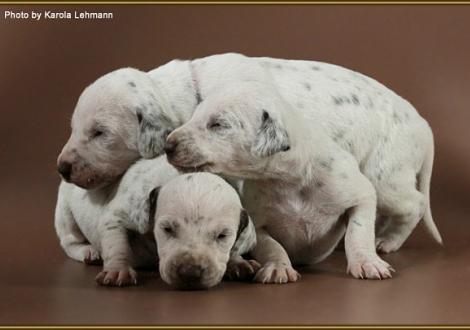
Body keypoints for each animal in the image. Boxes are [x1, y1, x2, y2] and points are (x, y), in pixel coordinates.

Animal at [55, 156, 258, 288]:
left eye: (223, 236)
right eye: (167, 229)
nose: (189, 272)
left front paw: (237, 262)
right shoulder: (116, 216)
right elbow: (117, 244)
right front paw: (118, 270)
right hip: (65, 214)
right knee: (70, 242)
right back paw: (89, 251)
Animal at [164, 76, 440, 282]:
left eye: (218, 124)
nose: (167, 145)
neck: (288, 181)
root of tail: (424, 125)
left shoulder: (360, 194)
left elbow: (357, 232)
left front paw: (367, 262)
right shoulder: (256, 223)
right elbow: (271, 245)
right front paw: (278, 267)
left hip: (385, 182)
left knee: (415, 204)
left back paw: (388, 241)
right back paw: (239, 265)